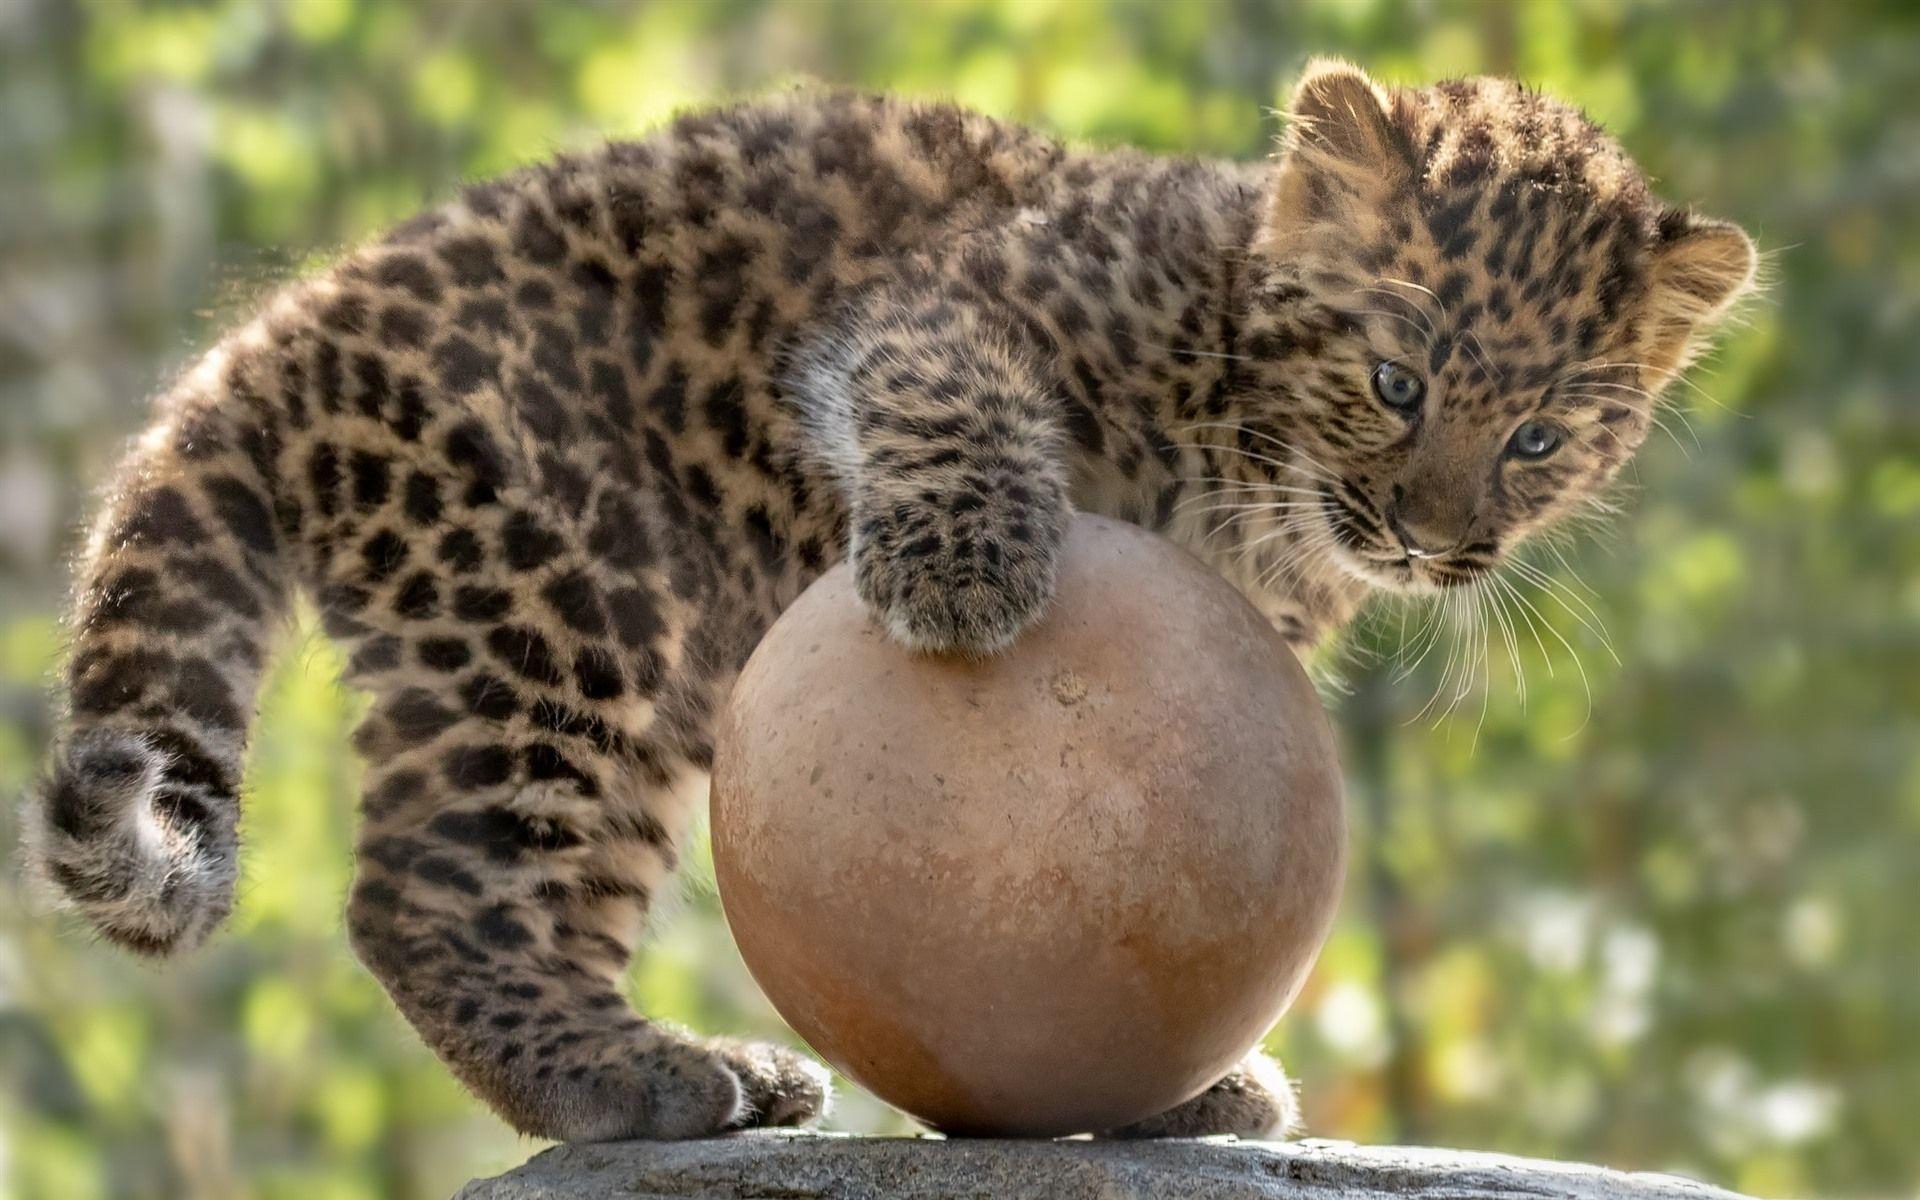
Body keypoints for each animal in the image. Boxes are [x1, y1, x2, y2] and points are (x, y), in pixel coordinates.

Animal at [26, 61, 1754, 1143]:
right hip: (564, 597)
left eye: (1542, 441)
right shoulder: (947, 303)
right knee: (433, 895)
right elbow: (952, 397)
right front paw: (964, 574)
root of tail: (280, 334)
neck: (1262, 468)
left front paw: (1178, 1091)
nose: (1439, 540)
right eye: (1398, 381)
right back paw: (642, 1079)